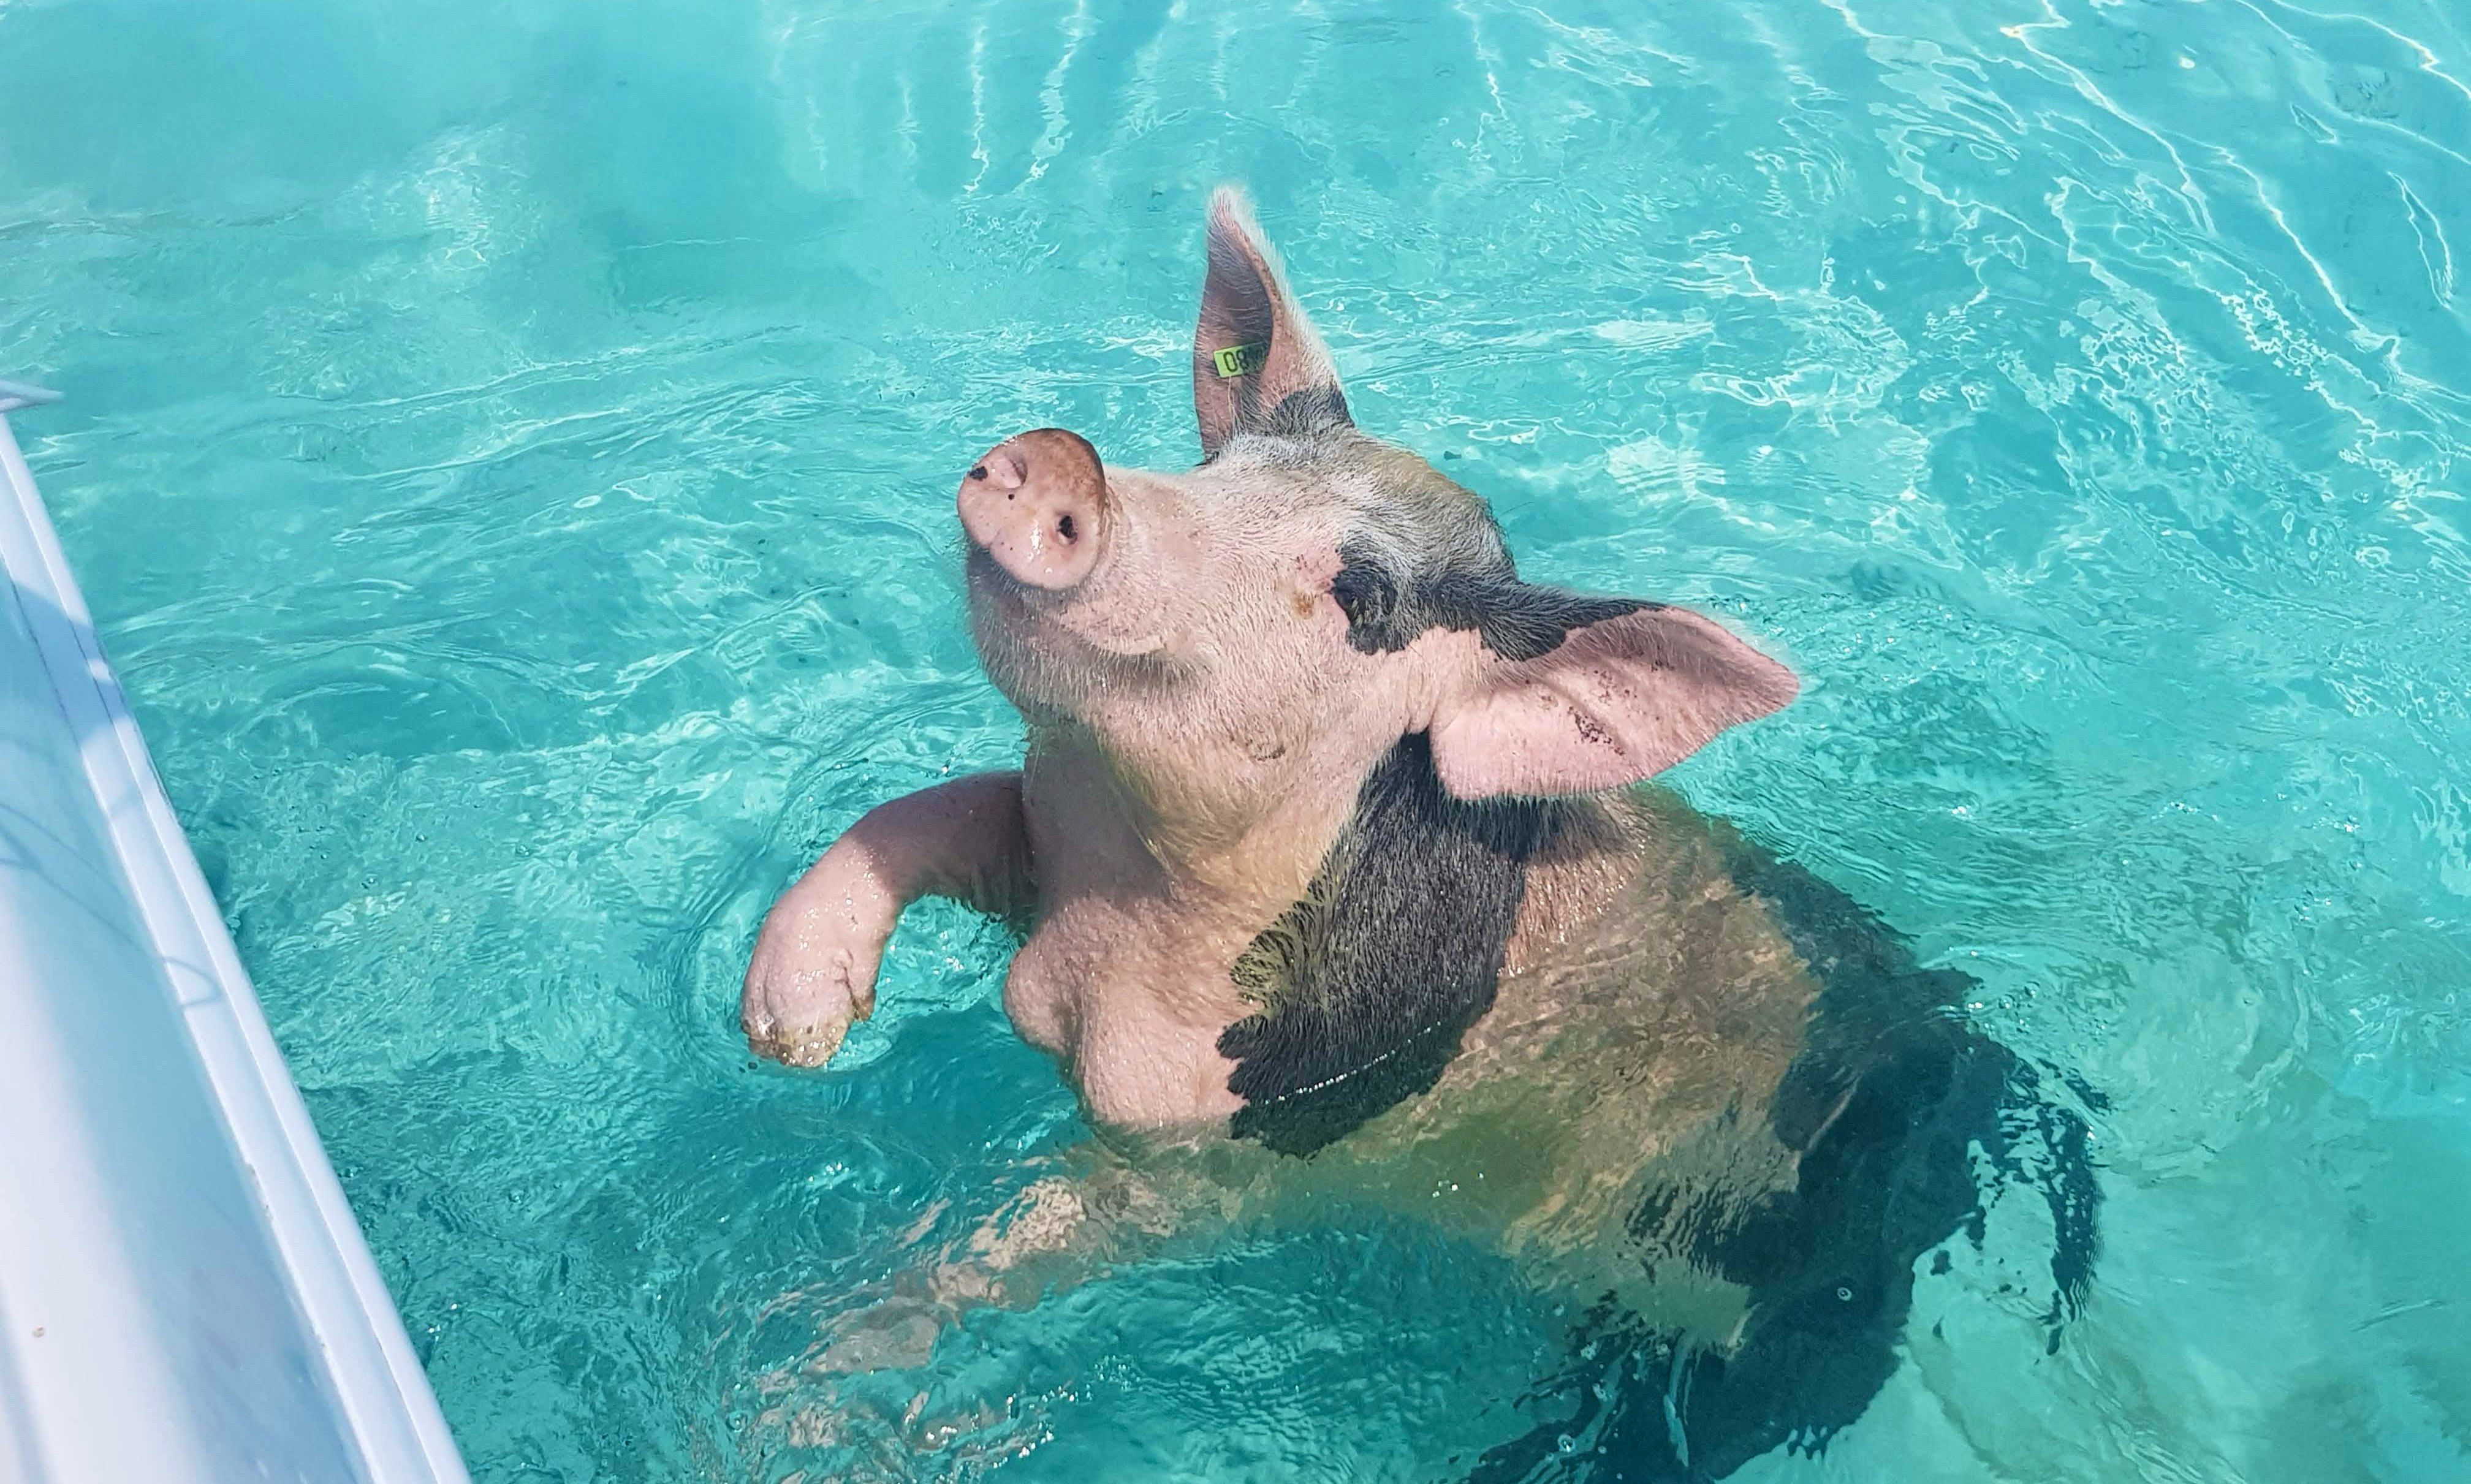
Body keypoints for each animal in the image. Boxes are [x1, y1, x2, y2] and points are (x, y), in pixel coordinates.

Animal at [740, 190, 2098, 1479]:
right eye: (1222, 465)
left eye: (1361, 596)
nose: (1061, 459)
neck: (1123, 902)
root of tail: (1992, 1083)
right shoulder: (1045, 846)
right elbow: (929, 811)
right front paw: (793, 1034)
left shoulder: (1242, 1140)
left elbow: (1037, 1233)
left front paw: (801, 1399)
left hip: (1788, 1311)